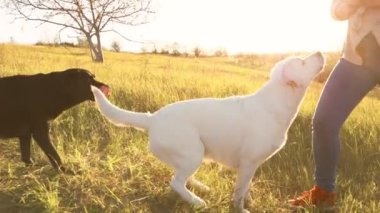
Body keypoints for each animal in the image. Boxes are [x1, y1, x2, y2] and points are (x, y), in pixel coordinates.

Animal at [91, 52, 324, 212]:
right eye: (303, 62)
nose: (321, 53)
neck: (275, 102)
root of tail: (152, 118)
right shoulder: (248, 162)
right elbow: (239, 192)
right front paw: (241, 208)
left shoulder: (251, 165)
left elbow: (246, 187)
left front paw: (249, 200)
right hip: (193, 152)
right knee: (176, 181)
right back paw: (197, 201)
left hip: (190, 155)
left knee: (180, 176)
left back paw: (201, 188)